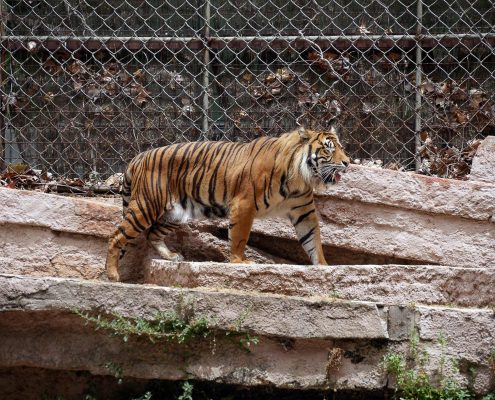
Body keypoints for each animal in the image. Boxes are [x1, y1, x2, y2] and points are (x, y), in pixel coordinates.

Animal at [106, 126, 350, 282]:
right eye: (328, 148)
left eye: (341, 147)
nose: (348, 162)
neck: (301, 176)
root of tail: (139, 156)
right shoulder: (244, 204)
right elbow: (240, 237)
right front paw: (240, 261)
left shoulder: (304, 212)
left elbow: (313, 239)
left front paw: (323, 266)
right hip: (146, 206)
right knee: (116, 236)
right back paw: (112, 275)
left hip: (175, 213)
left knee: (152, 234)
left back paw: (171, 256)